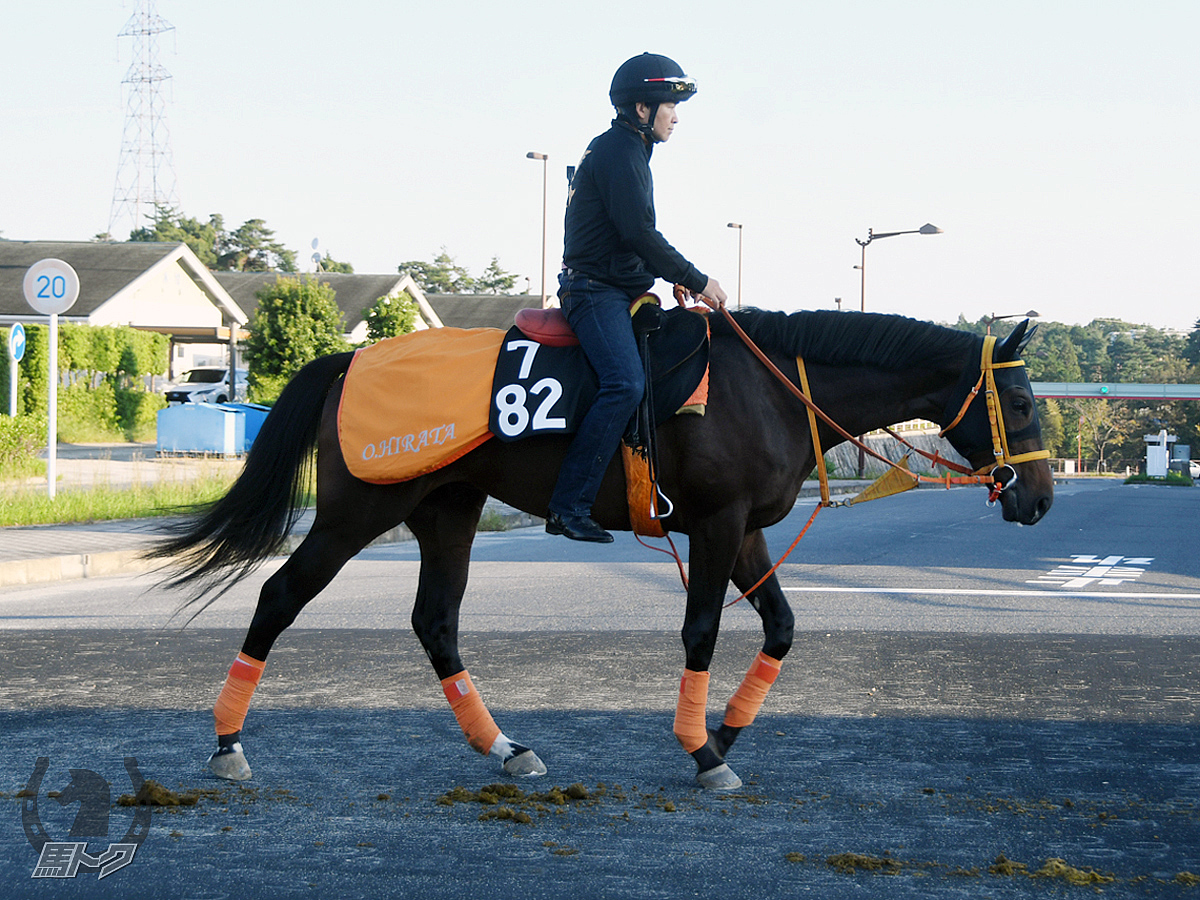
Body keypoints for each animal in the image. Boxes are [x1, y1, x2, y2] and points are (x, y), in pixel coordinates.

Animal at [154, 309, 1056, 787]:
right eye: (1019, 400)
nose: (1041, 498)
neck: (766, 388)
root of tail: (349, 360)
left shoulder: (747, 528)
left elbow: (782, 627)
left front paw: (726, 734)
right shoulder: (716, 523)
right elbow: (702, 631)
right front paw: (702, 749)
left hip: (448, 510)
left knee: (435, 622)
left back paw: (504, 746)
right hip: (362, 509)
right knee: (280, 597)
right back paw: (228, 743)